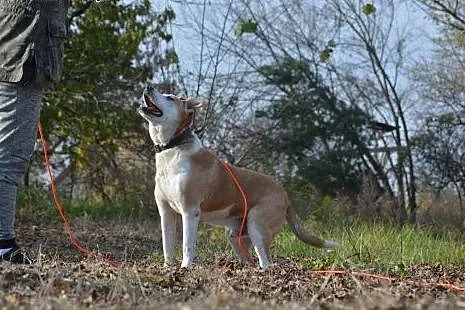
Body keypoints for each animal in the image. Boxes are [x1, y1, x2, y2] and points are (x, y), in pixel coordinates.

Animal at [138, 85, 338, 268]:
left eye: (170, 98)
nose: (148, 86)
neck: (173, 147)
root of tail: (284, 195)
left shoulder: (190, 211)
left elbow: (187, 247)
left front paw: (185, 269)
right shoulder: (166, 213)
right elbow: (168, 247)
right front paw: (168, 268)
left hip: (257, 225)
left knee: (267, 262)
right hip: (236, 237)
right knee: (253, 260)